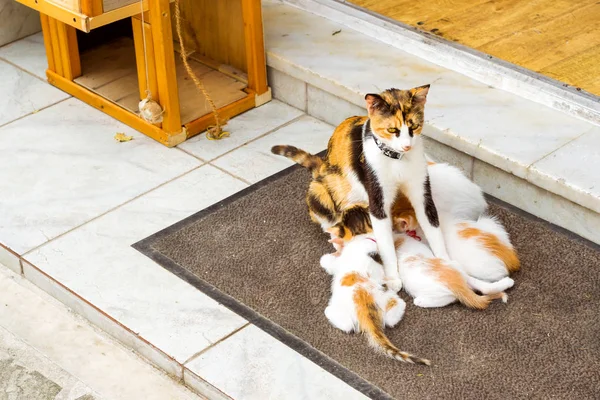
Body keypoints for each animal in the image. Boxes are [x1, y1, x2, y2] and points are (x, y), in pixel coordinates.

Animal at [274, 85, 448, 290]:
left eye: (414, 126)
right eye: (392, 129)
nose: (406, 146)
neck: (397, 160)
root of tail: (321, 166)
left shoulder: (421, 192)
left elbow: (432, 226)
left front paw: (447, 265)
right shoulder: (377, 200)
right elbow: (385, 243)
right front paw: (393, 277)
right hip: (321, 192)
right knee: (328, 221)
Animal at [318, 234, 432, 366]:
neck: (362, 241)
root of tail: (365, 305)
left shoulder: (340, 260)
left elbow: (329, 263)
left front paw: (325, 258)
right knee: (382, 321)